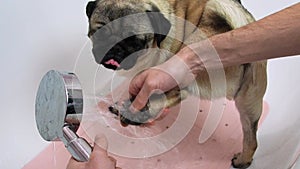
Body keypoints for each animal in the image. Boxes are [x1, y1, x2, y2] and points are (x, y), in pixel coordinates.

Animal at [85, 0, 268, 168]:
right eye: (99, 33)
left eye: (135, 42)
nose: (115, 48)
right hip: (249, 103)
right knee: (251, 138)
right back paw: (243, 160)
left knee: (170, 96)